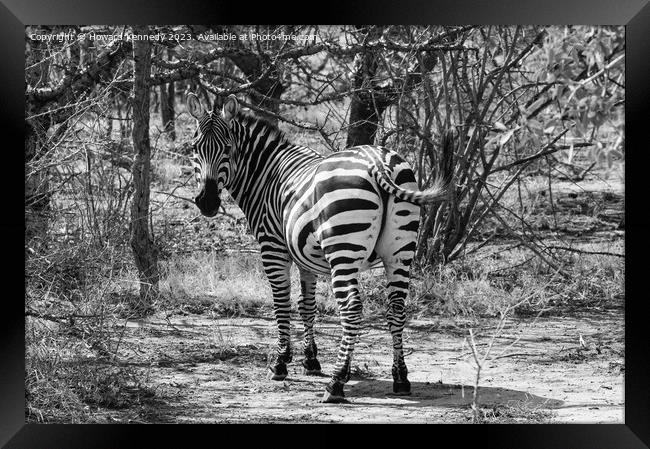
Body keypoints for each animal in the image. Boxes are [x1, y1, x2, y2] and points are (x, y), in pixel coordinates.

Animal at [186, 93, 450, 400]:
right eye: (194, 148)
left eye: (227, 148)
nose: (207, 202)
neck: (265, 174)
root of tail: (377, 162)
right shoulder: (305, 256)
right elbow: (307, 305)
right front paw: (311, 360)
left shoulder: (273, 247)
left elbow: (281, 302)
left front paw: (281, 363)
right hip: (400, 252)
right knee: (396, 307)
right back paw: (400, 378)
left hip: (343, 249)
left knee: (351, 308)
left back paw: (336, 383)